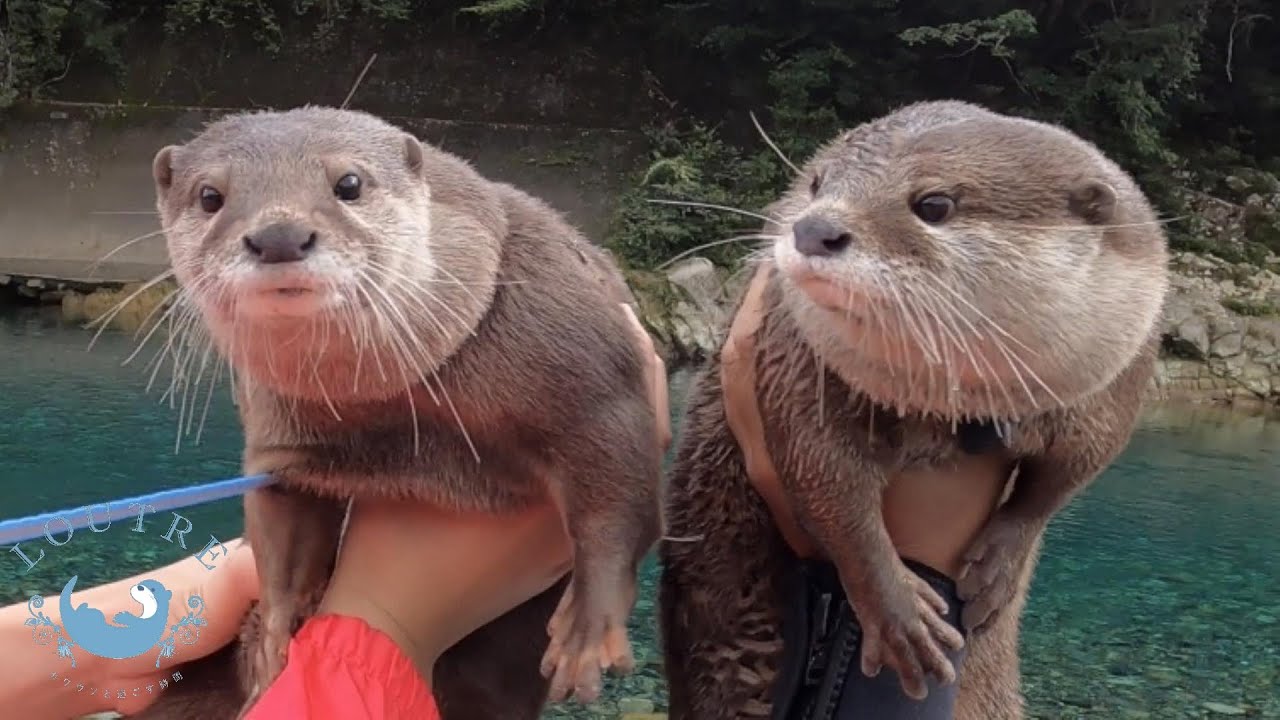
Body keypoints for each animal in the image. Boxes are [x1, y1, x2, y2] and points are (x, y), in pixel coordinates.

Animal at [136, 106, 665, 717]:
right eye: (210, 196)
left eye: (349, 183)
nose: (279, 236)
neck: (408, 419)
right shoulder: (279, 444)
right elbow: (279, 536)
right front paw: (274, 637)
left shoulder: (584, 363)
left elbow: (614, 484)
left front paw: (588, 631)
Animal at [660, 99, 1172, 717]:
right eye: (816, 184)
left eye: (934, 204)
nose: (814, 228)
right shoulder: (796, 363)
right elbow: (829, 486)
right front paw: (900, 616)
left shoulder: (1119, 377)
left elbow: (1066, 477)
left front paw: (1002, 562)